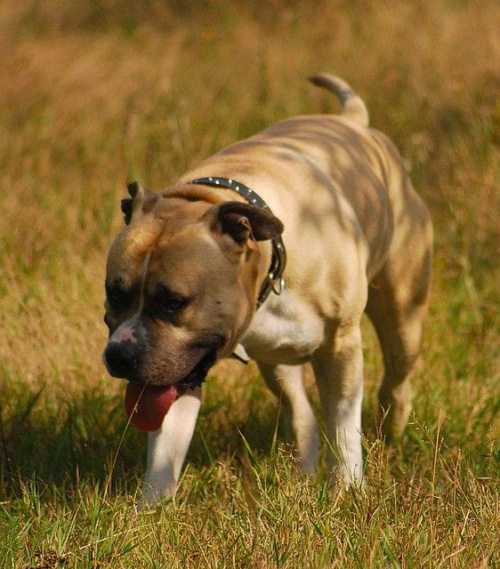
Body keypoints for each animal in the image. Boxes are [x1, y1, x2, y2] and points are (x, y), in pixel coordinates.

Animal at [103, 73, 432, 504]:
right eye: (114, 293)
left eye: (173, 302)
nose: (120, 354)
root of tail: (355, 121)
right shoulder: (174, 372)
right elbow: (165, 446)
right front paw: (151, 509)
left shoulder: (341, 346)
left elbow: (343, 425)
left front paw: (346, 489)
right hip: (275, 358)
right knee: (301, 412)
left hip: (403, 316)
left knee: (395, 381)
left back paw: (390, 430)